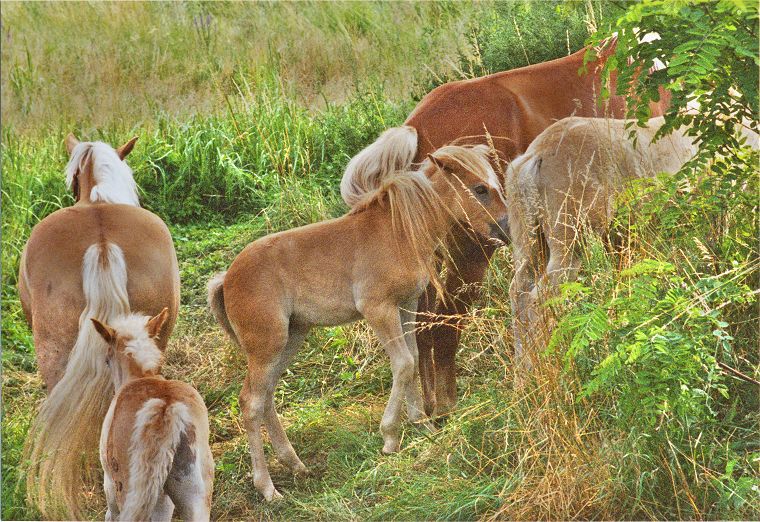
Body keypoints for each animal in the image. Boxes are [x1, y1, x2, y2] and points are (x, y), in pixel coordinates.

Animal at [94, 308, 217, 520]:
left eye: (107, 359)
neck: (141, 376)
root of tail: (165, 408)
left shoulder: (109, 485)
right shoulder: (163, 499)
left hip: (127, 492)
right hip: (194, 495)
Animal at [209, 143, 510, 500]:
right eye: (480, 189)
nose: (507, 229)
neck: (400, 231)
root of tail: (226, 279)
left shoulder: (406, 306)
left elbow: (414, 359)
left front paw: (421, 424)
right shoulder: (378, 310)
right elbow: (404, 364)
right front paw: (391, 436)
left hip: (289, 339)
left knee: (266, 395)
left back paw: (295, 464)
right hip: (267, 346)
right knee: (251, 403)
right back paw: (267, 488)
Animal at [504, 116, 696, 368]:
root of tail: (533, 158)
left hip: (528, 237)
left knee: (519, 291)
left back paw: (523, 372)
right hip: (572, 233)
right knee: (542, 296)